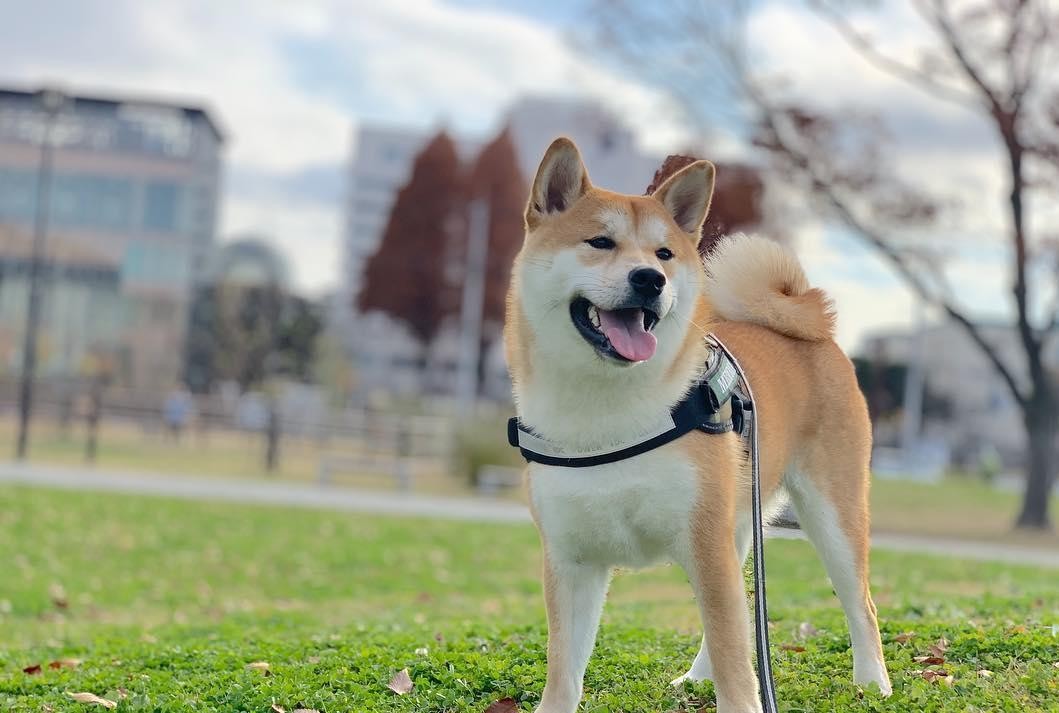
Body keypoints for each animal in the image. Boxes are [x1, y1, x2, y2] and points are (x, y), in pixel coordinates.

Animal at [504, 138, 893, 711]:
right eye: (600, 242)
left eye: (664, 254)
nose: (650, 279)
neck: (608, 413)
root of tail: (814, 330)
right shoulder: (571, 560)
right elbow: (565, 674)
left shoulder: (705, 545)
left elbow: (738, 666)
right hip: (737, 522)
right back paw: (695, 678)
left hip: (830, 517)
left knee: (860, 605)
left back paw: (873, 683)